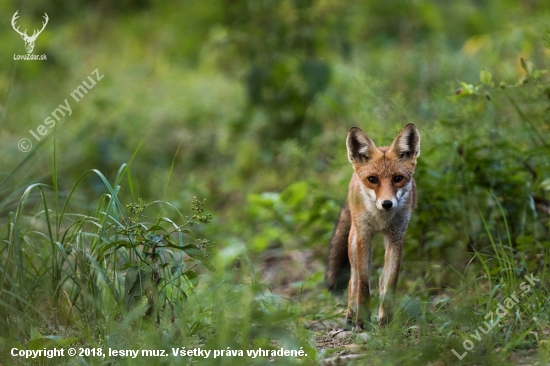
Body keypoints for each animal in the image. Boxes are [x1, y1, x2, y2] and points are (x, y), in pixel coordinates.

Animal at [328, 123, 422, 328]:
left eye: (397, 178)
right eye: (373, 179)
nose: (387, 203)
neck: (381, 219)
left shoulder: (396, 238)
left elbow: (391, 282)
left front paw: (386, 321)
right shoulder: (364, 237)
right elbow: (364, 285)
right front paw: (362, 321)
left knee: (380, 279)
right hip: (353, 240)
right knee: (353, 280)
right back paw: (350, 314)